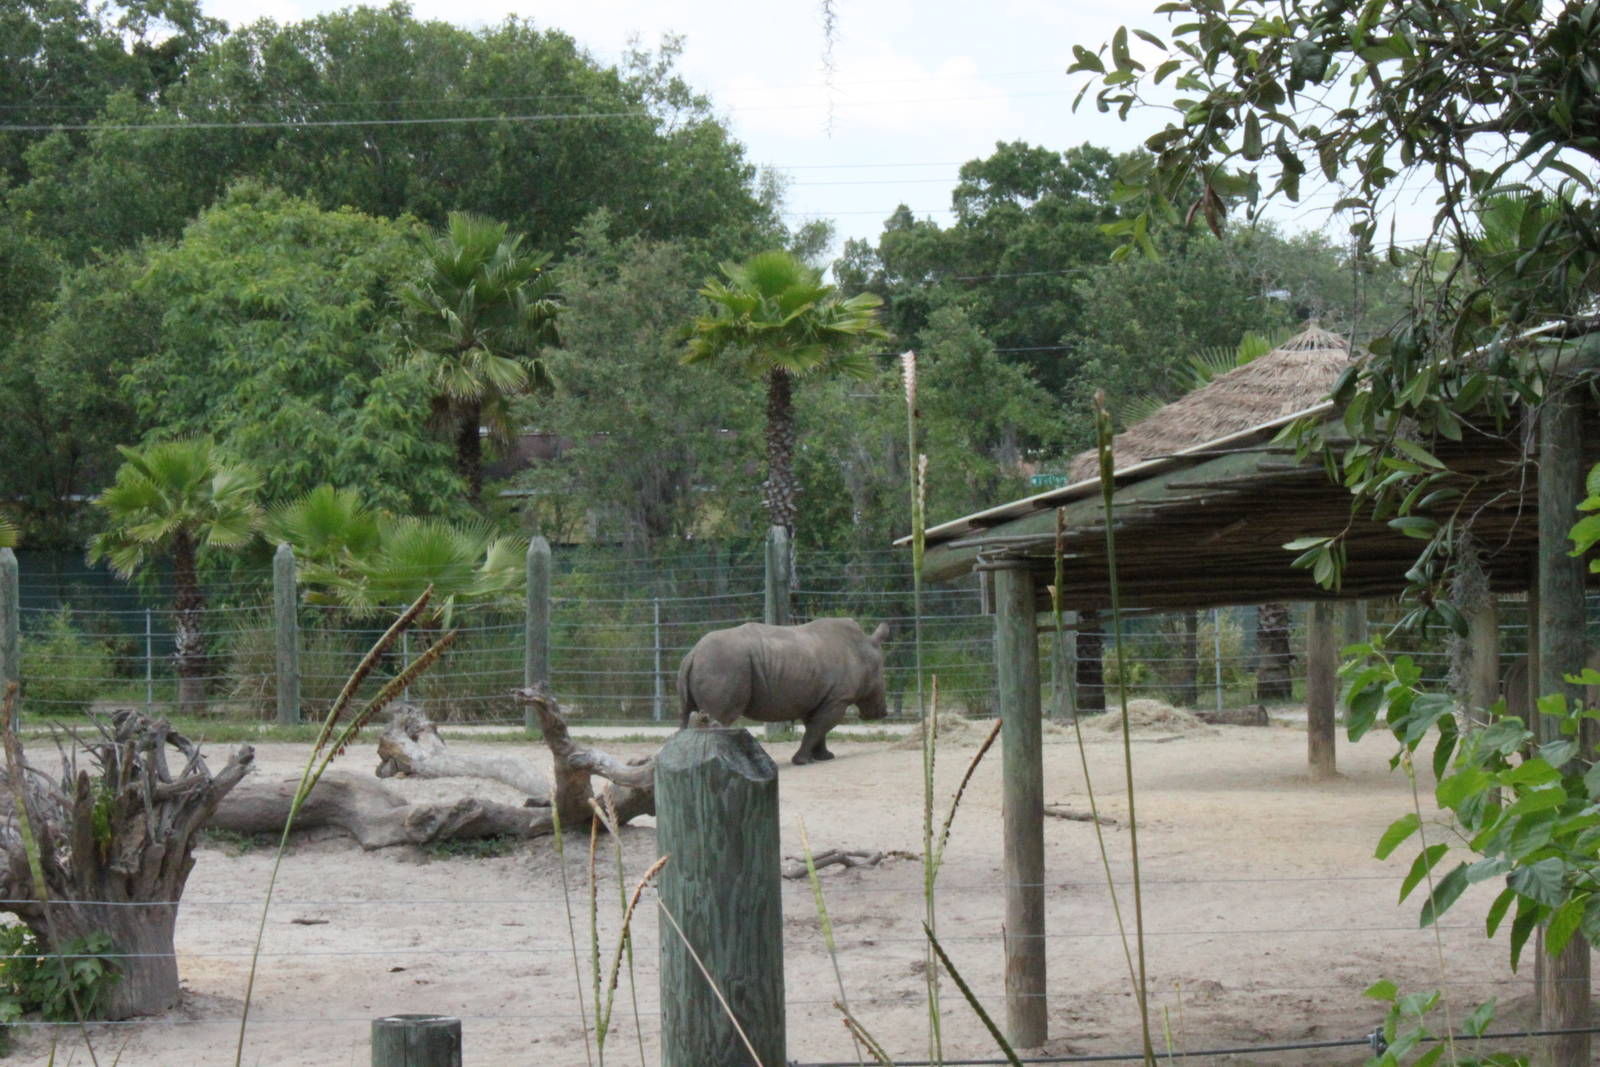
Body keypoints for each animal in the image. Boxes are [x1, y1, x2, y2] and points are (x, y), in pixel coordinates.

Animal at [677, 618, 891, 765]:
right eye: (881, 679)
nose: (882, 713)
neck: (863, 650)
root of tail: (692, 654)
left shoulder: (817, 697)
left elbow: (817, 728)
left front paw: (826, 757)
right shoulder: (838, 698)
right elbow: (819, 728)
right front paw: (802, 761)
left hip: (706, 665)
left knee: (688, 715)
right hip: (723, 665)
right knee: (720, 717)